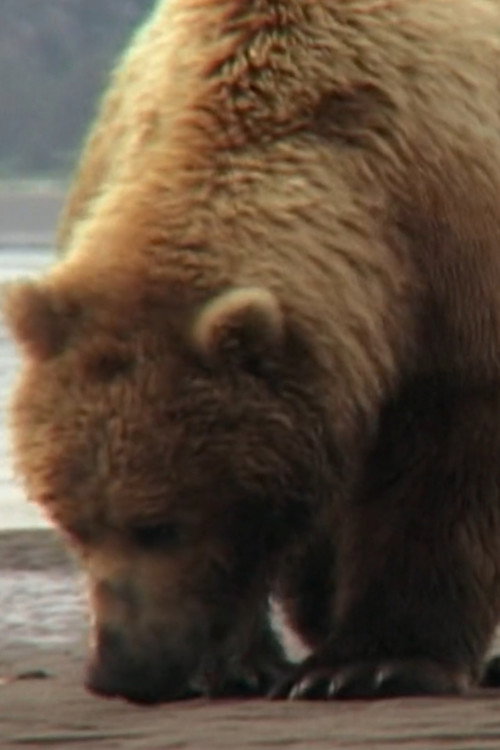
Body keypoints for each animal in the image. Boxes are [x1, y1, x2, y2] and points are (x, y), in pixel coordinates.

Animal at [5, 0, 500, 704]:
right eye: (74, 523)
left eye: (160, 524)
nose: (121, 670)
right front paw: (247, 660)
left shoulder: (453, 262)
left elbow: (442, 465)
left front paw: (372, 662)